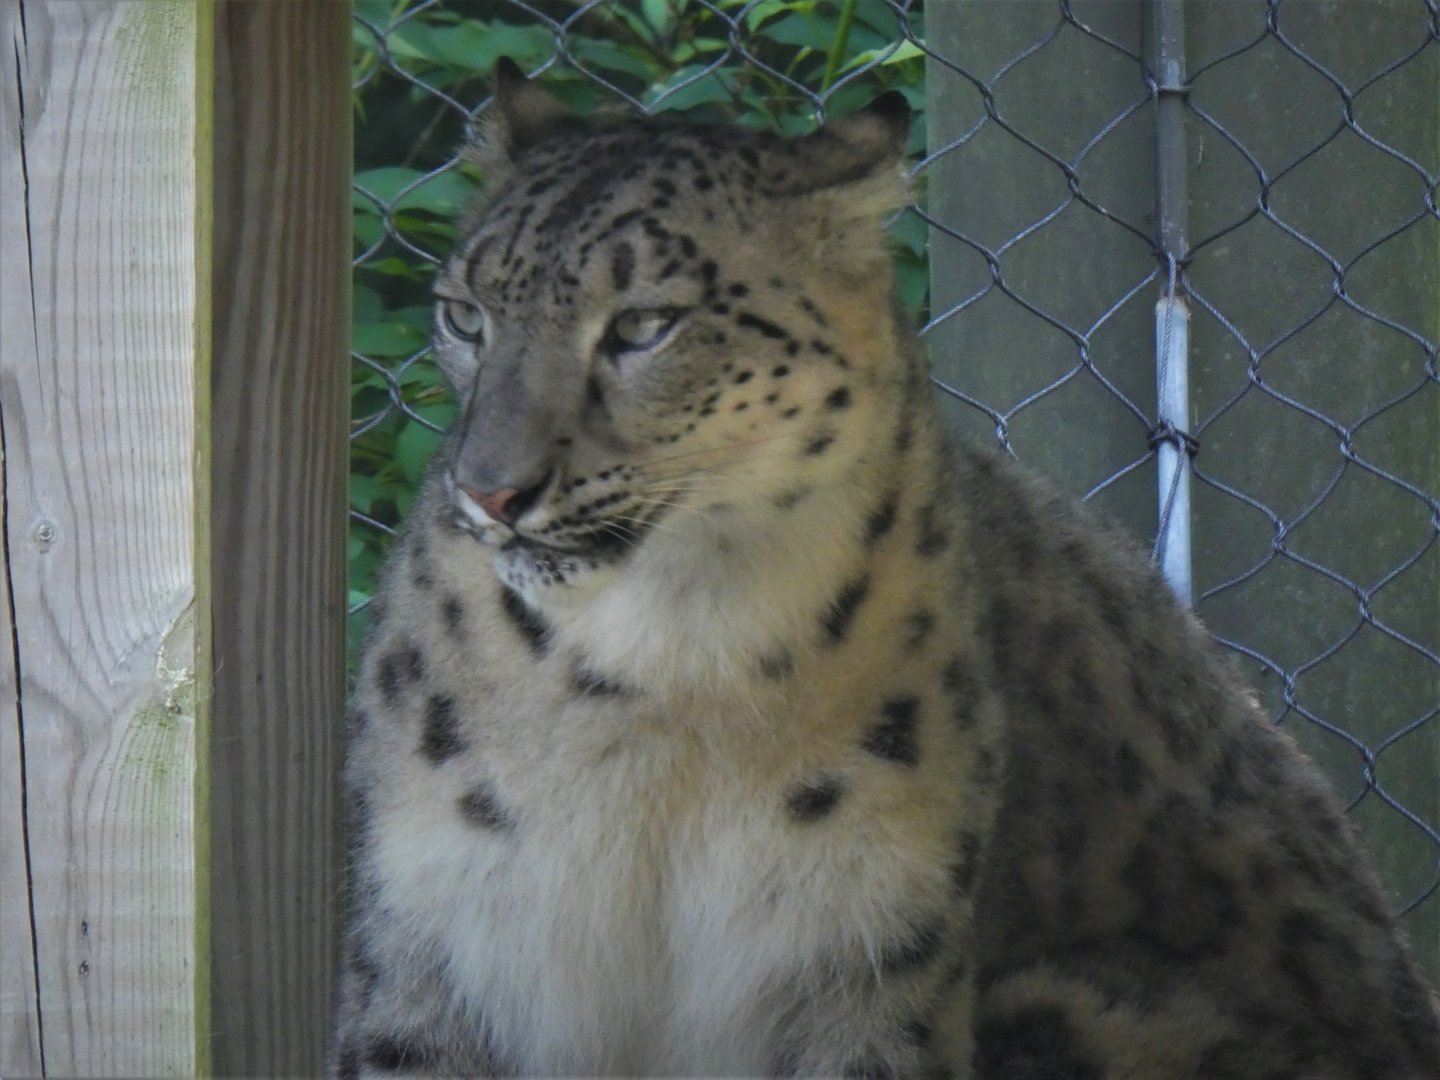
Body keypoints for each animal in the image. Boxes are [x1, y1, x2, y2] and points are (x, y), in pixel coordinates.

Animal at [331, 60, 1440, 1078]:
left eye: (646, 323)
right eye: (467, 313)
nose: (492, 491)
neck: (664, 667)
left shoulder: (871, 944)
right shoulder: (426, 930)